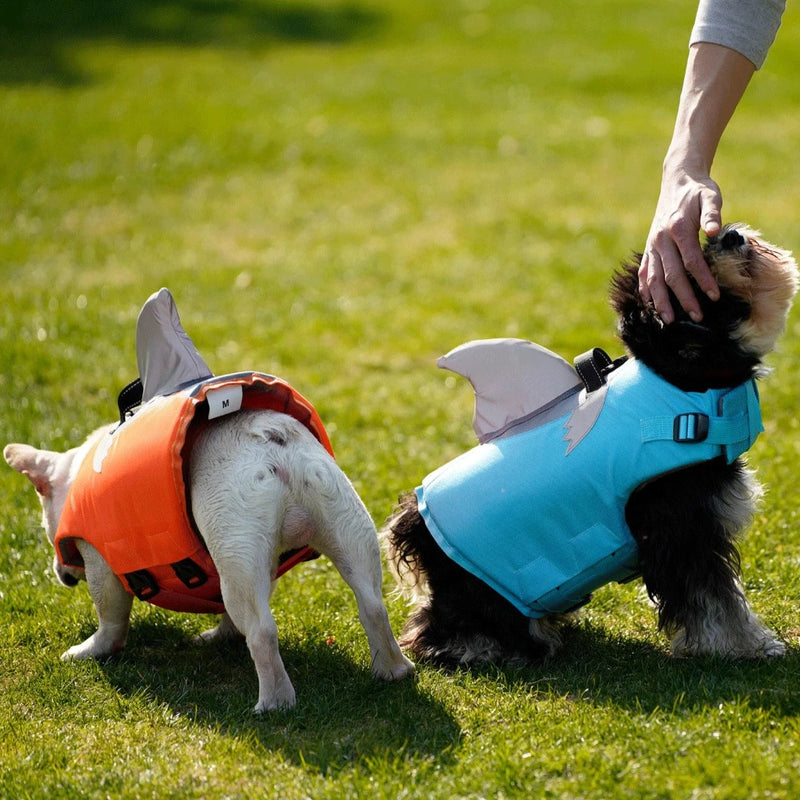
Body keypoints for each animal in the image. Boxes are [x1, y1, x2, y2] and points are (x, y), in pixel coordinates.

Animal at [6, 290, 416, 712]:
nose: (62, 573)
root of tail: (271, 440)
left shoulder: (101, 559)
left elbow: (111, 616)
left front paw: (91, 651)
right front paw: (222, 635)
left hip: (237, 546)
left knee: (261, 630)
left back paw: (274, 703)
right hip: (337, 521)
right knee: (370, 602)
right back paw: (392, 670)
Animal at [386, 223, 792, 664]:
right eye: (697, 279)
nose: (730, 234)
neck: (686, 383)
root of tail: (413, 526)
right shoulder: (683, 527)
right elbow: (715, 599)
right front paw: (743, 646)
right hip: (485, 598)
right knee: (446, 628)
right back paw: (484, 647)